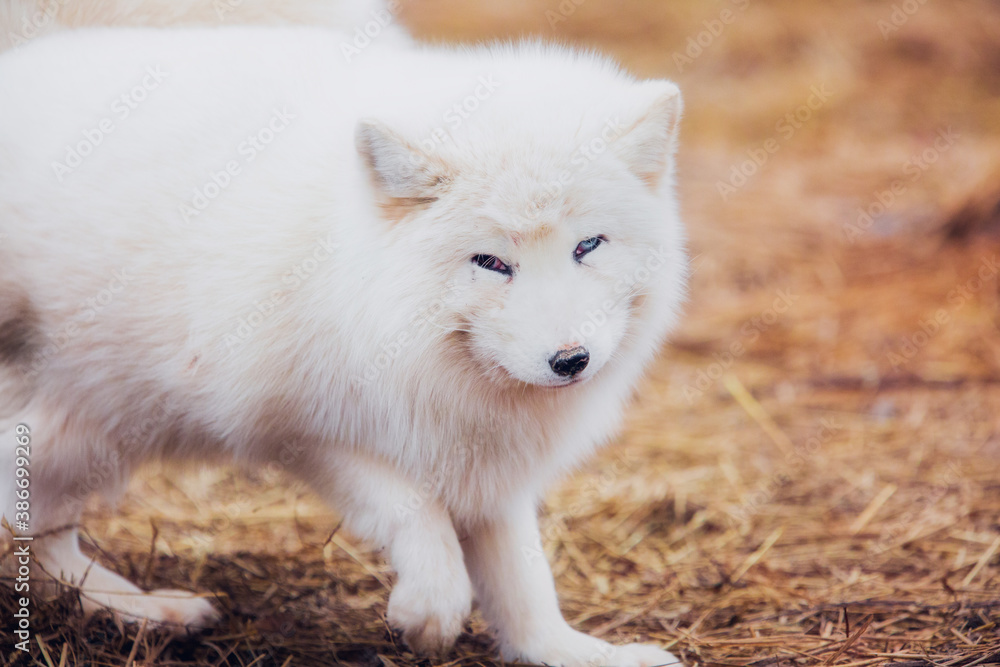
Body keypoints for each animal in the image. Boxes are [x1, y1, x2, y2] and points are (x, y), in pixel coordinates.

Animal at [0, 8, 688, 667]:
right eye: (491, 262)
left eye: (588, 245)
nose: (571, 360)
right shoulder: (296, 425)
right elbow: (419, 515)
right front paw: (428, 614)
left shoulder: (484, 456)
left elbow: (523, 581)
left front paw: (569, 651)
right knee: (26, 516)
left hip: (84, 429)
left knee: (38, 526)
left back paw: (140, 612)